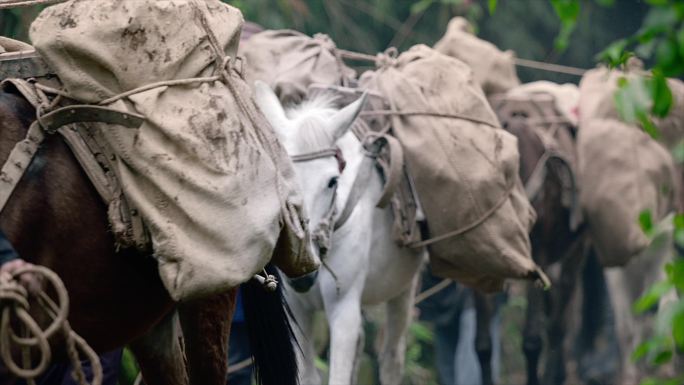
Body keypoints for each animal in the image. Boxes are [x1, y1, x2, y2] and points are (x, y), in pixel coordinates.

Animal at [255, 82, 428, 384]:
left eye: (332, 181)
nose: (303, 274)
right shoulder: (296, 308)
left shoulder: (343, 309)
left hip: (403, 290)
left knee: (392, 359)